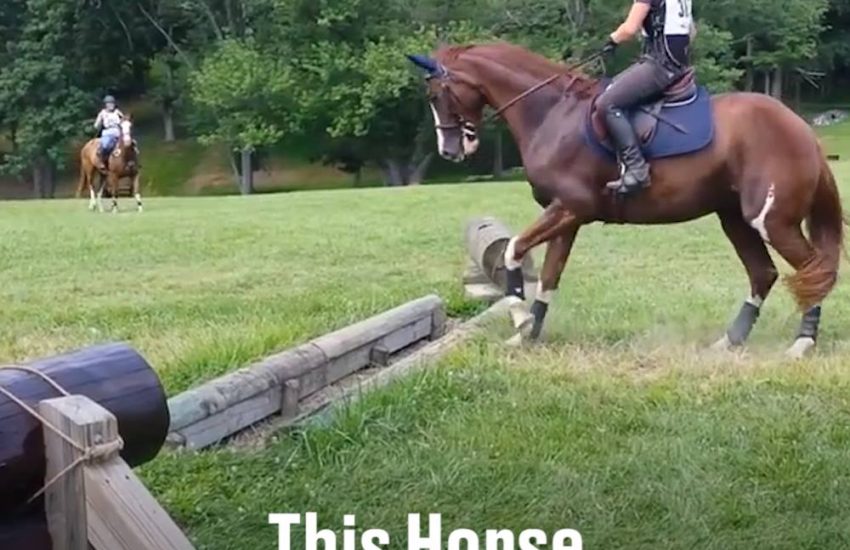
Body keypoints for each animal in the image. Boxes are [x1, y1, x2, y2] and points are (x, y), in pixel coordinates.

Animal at [407, 42, 845, 359]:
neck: (553, 114)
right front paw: (529, 333)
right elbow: (548, 278)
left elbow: (514, 248)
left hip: (771, 220)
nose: (449, 150)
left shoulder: (570, 208)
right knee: (763, 274)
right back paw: (730, 341)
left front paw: (518, 318)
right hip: (734, 218)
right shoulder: (567, 216)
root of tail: (801, 128)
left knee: (814, 270)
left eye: (436, 93)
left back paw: (802, 344)